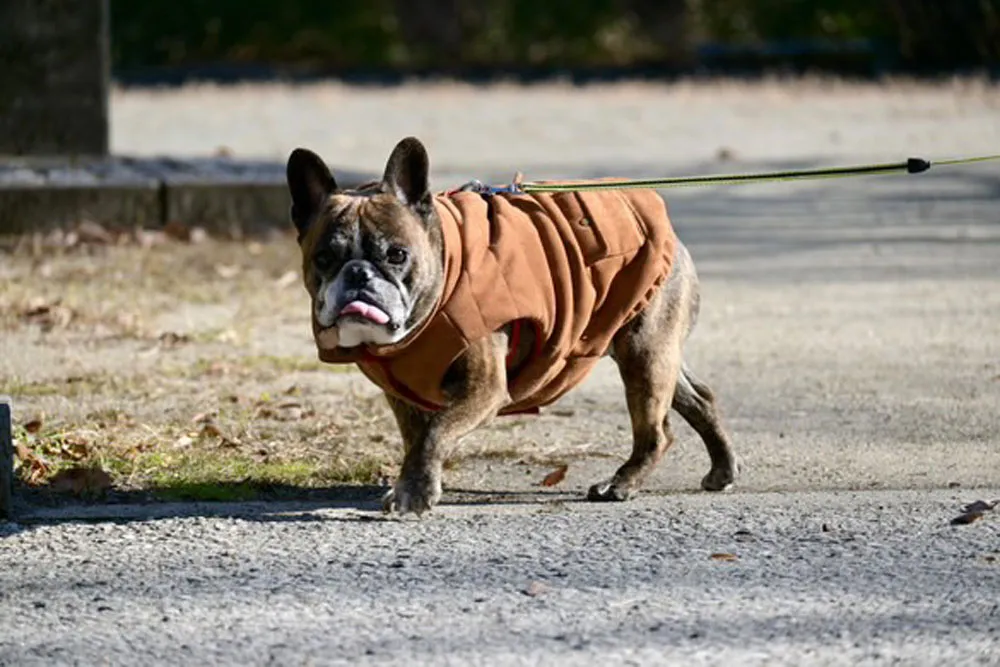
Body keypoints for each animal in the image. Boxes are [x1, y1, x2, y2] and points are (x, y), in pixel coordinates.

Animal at [286, 137, 740, 516]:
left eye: (397, 255)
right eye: (323, 259)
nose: (358, 274)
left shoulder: (483, 389)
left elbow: (435, 433)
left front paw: (413, 495)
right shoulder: (402, 396)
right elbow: (417, 439)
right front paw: (416, 484)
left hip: (644, 352)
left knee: (656, 431)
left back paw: (621, 484)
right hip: (652, 349)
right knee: (699, 398)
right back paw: (722, 469)